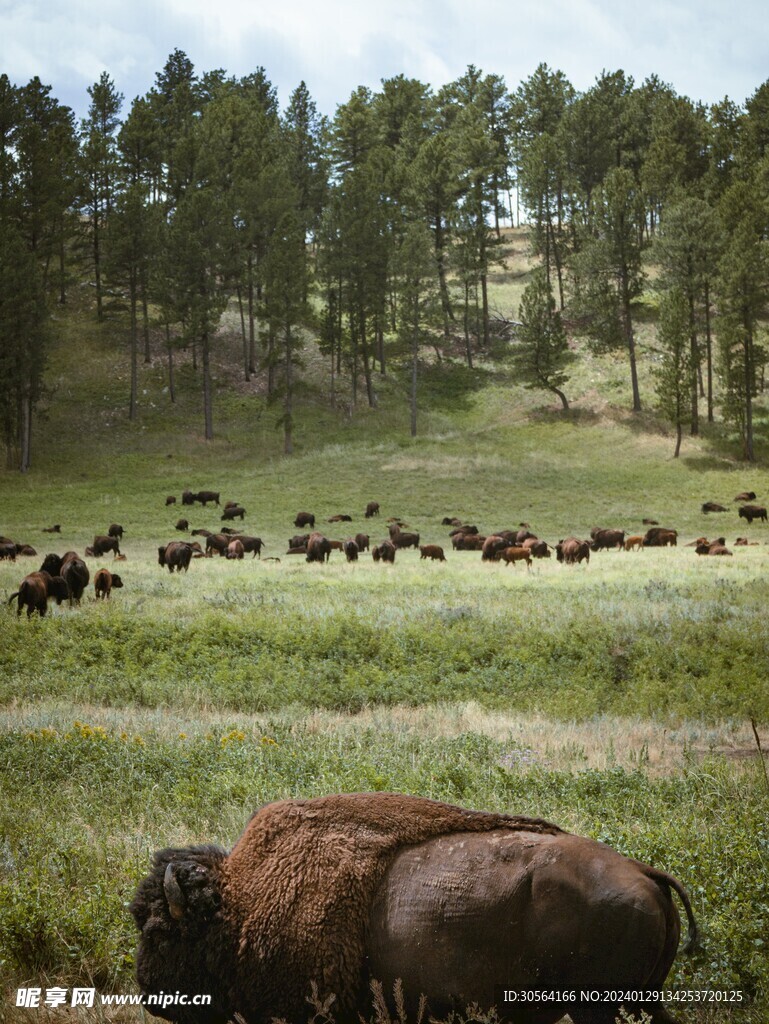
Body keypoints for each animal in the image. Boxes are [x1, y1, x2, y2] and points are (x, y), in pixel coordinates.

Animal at [132, 790, 696, 1024]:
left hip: (598, 1007)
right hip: (638, 1000)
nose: (148, 992)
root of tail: (645, 873)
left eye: (159, 931)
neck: (242, 905)